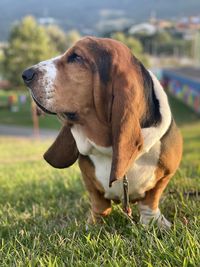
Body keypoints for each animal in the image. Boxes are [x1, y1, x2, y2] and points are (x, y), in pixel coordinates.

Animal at [22, 36, 182, 228]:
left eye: (76, 57)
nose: (26, 74)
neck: (108, 149)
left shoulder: (166, 174)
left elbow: (151, 199)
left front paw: (154, 222)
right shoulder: (88, 178)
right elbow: (98, 202)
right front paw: (94, 223)